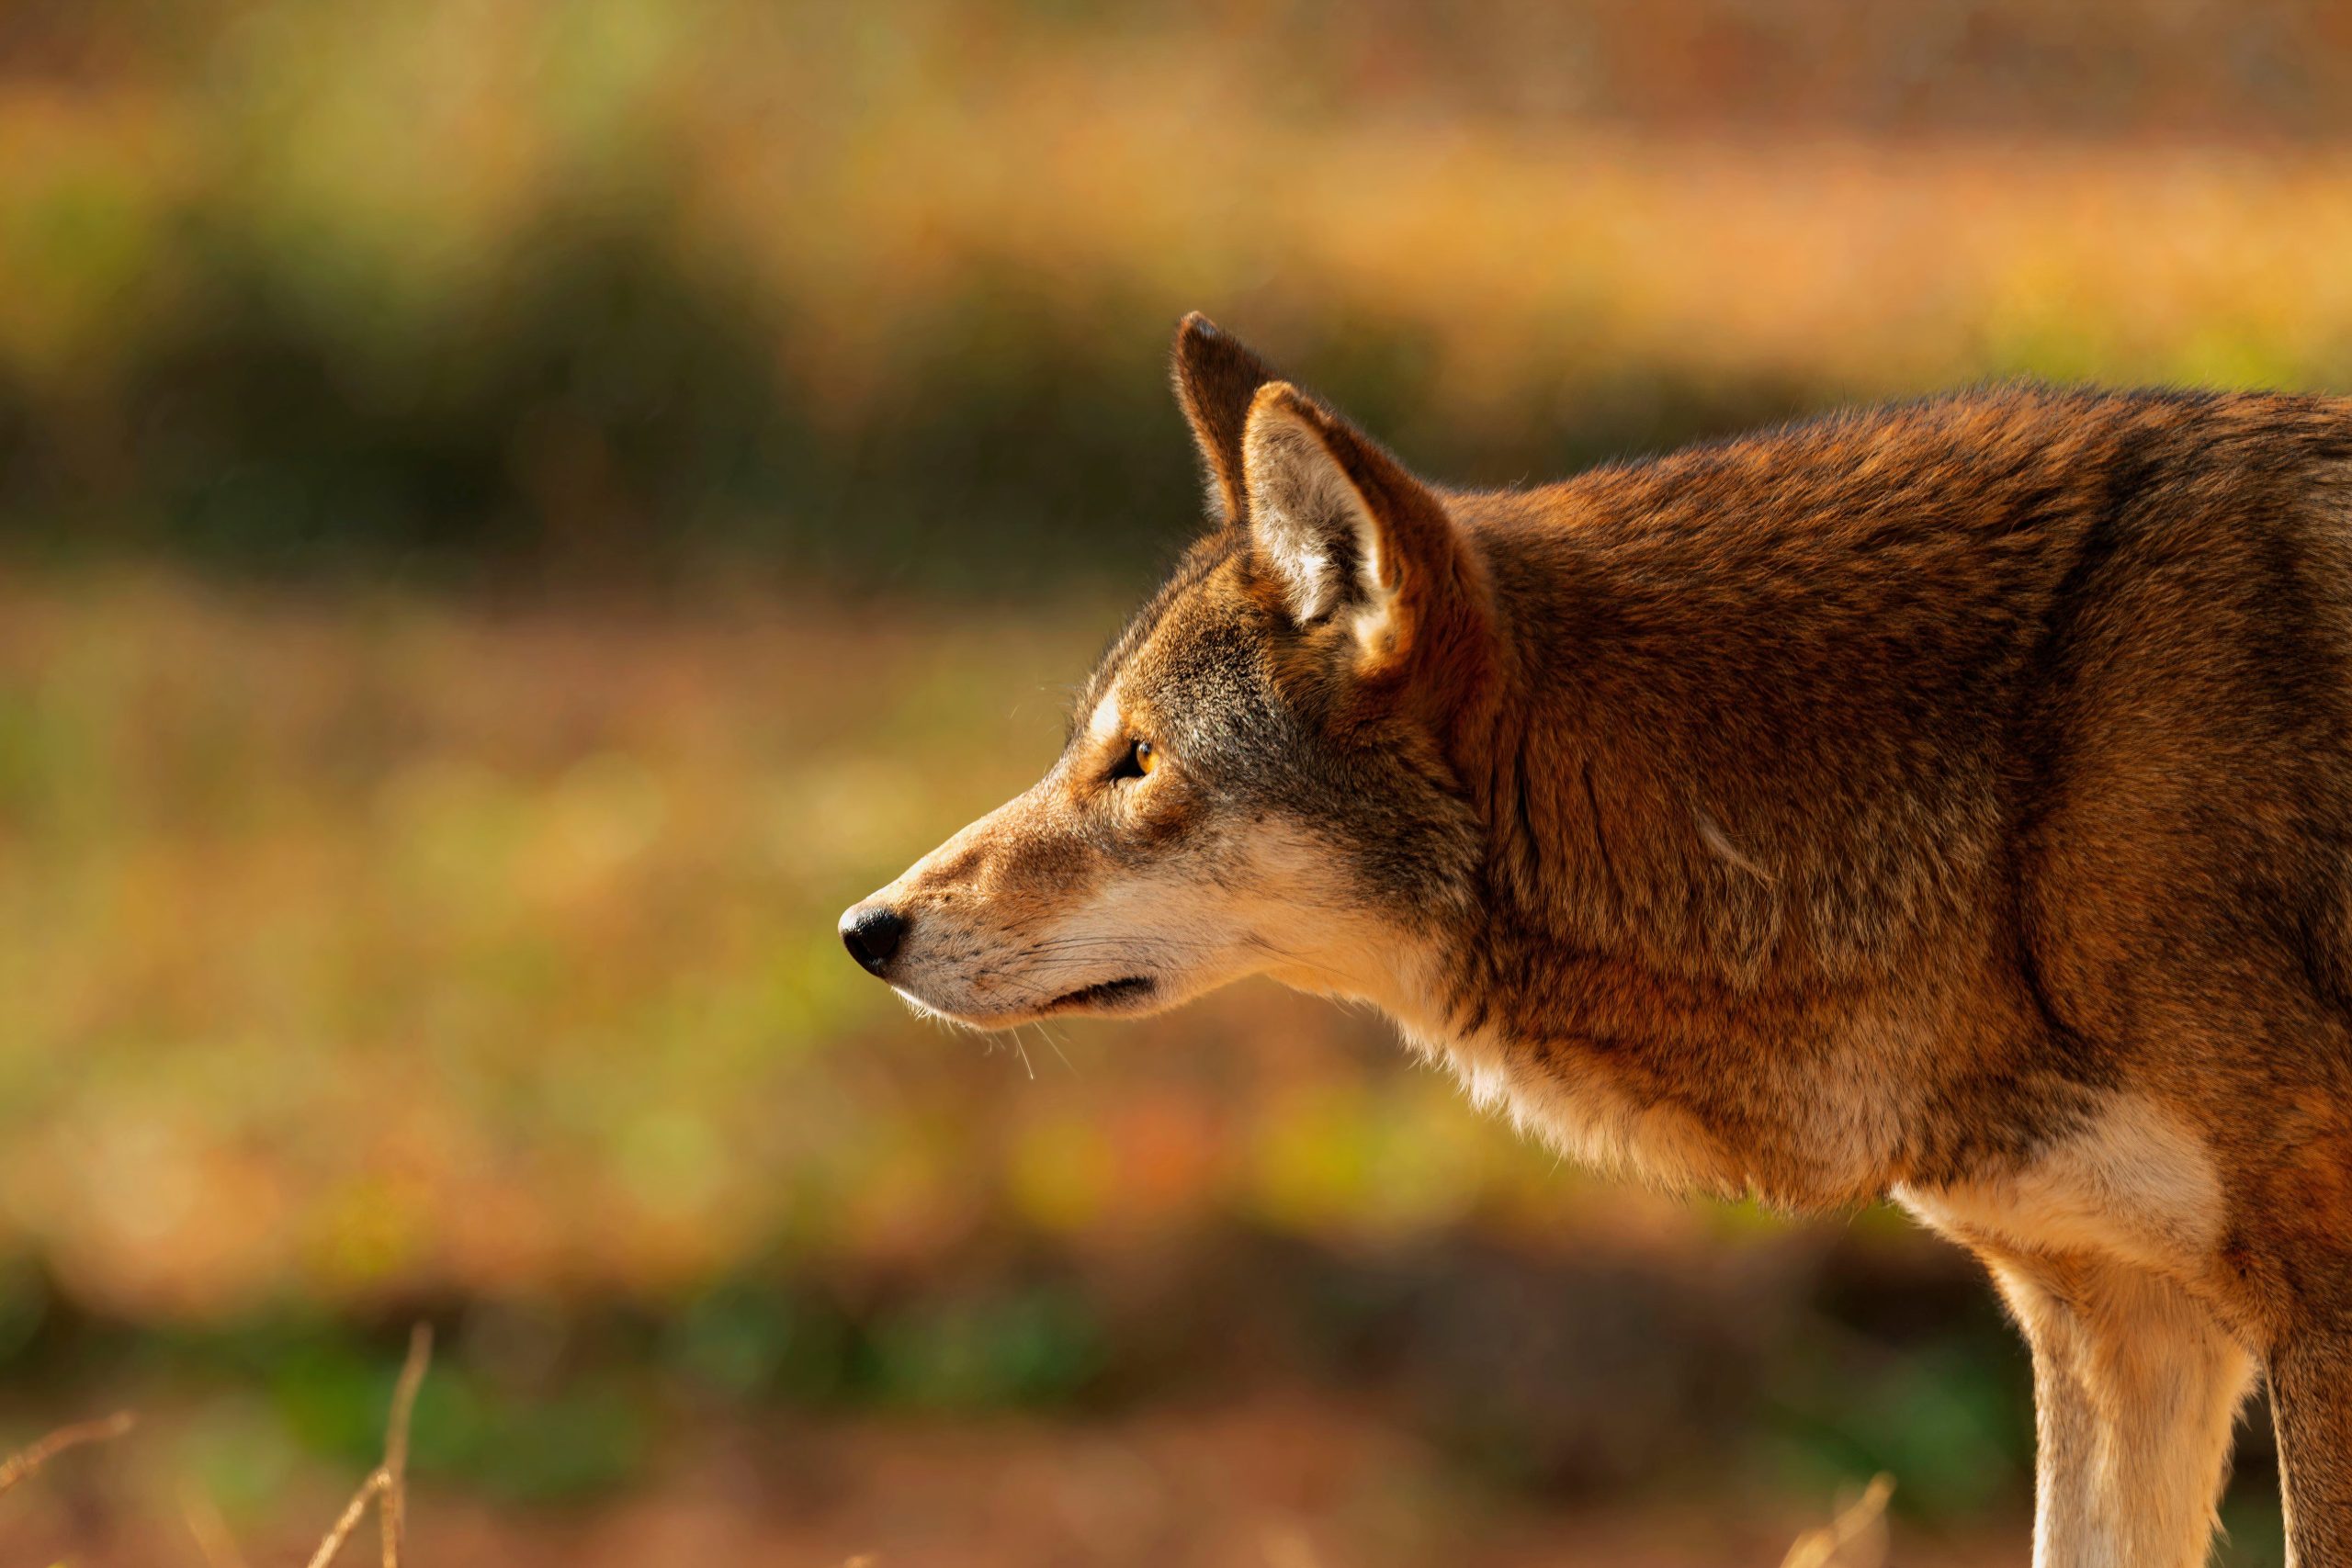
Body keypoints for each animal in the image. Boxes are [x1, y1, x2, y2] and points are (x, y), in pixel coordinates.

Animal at [841, 315, 2352, 1566]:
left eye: (1138, 761)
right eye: (1089, 744)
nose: (865, 927)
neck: (2025, 785)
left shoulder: (2310, 1309)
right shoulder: (2116, 1322)